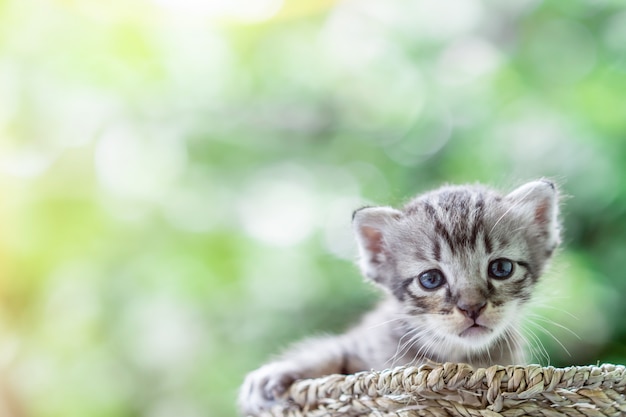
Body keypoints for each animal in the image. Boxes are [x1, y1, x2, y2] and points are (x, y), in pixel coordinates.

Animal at [239, 178, 560, 412]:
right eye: (430, 279)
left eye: (501, 268)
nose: (472, 307)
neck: (452, 353)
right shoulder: (365, 342)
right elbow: (334, 351)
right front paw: (278, 373)